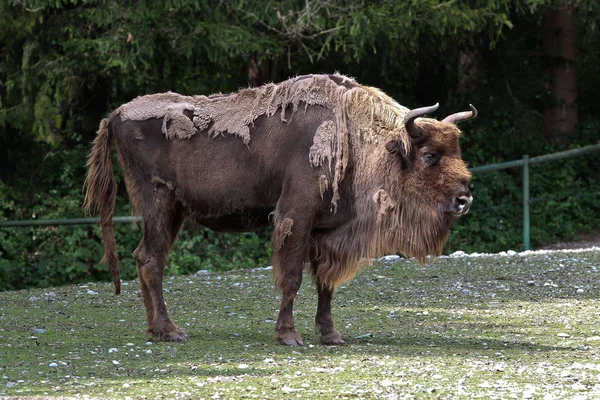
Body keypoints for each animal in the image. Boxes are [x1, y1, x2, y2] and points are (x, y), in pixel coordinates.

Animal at [85, 73, 478, 346]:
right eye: (429, 155)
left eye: (457, 152)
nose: (464, 199)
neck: (359, 139)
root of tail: (115, 115)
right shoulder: (296, 217)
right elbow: (292, 277)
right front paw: (289, 335)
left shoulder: (325, 232)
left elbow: (325, 285)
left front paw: (331, 335)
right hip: (160, 203)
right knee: (152, 260)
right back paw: (171, 331)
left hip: (172, 211)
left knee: (145, 256)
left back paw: (155, 329)